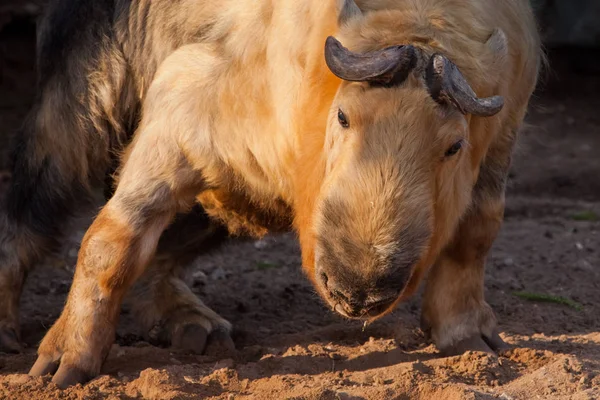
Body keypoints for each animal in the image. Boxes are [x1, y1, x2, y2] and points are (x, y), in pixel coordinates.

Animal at [0, 0, 544, 390]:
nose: (358, 294)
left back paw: (192, 323)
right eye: (344, 117)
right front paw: (68, 359)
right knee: (30, 208)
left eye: (453, 146)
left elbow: (477, 232)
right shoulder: (180, 116)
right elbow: (112, 240)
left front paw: (465, 335)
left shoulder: (500, 140)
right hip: (80, 110)